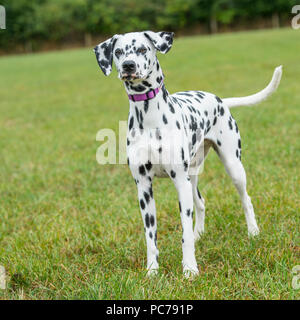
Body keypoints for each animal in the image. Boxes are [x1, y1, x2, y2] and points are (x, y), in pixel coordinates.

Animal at [93, 30, 282, 278]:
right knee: (200, 202)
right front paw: (152, 271)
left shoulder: (179, 182)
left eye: (143, 49)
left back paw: (253, 231)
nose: (128, 65)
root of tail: (220, 100)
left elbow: (185, 235)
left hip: (232, 167)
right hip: (192, 176)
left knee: (246, 199)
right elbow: (150, 237)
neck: (149, 117)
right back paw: (199, 233)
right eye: (117, 52)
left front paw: (190, 269)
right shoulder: (143, 187)